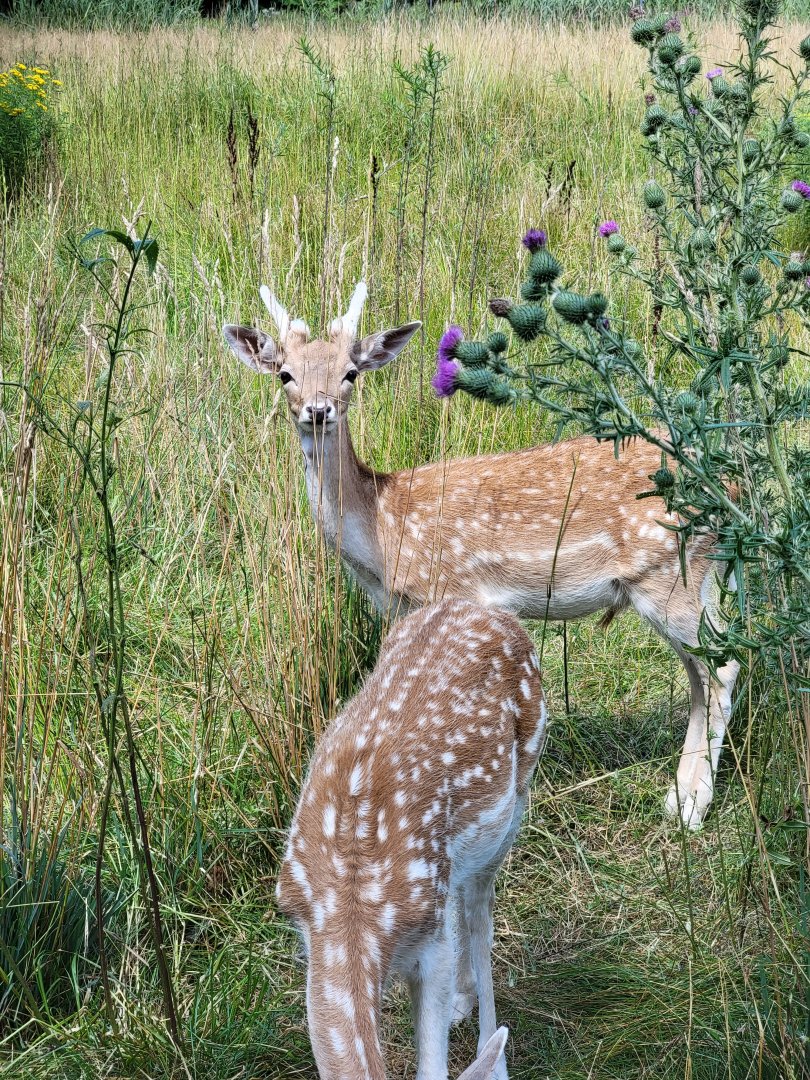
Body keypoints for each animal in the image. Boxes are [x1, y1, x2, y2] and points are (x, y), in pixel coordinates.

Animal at [223, 282, 739, 830]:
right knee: (701, 675)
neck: (383, 530)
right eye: (285, 373)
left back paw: (690, 808)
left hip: (670, 577)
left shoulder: (451, 591)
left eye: (350, 372)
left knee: (722, 670)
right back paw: (679, 799)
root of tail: (733, 492)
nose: (318, 410)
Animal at [276, 598, 547, 1080]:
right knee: (462, 898)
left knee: (481, 914)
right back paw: (463, 999)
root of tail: (484, 609)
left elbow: (432, 1065)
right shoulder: (310, 931)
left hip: (519, 793)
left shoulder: (430, 947)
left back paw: (491, 1052)